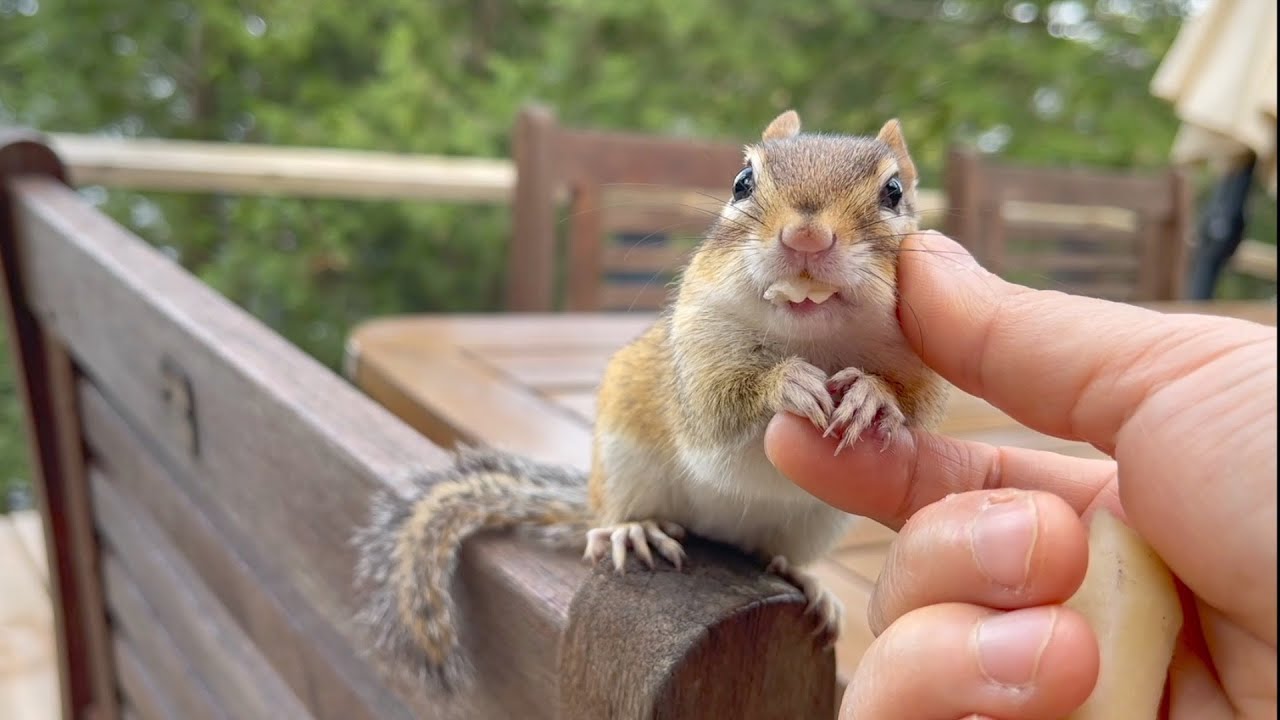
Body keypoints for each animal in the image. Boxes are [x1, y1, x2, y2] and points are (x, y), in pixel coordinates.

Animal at [354, 109, 951, 690]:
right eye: (742, 181)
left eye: (894, 191)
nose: (807, 237)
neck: (811, 336)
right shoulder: (694, 356)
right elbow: (715, 405)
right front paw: (784, 382)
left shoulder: (922, 365)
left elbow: (916, 404)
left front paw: (872, 396)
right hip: (625, 464)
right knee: (616, 515)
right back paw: (632, 529)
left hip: (811, 524)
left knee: (769, 553)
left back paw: (805, 580)